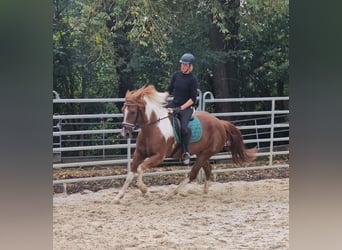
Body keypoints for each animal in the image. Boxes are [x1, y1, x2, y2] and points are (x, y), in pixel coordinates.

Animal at [113, 84, 255, 203]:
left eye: (132, 112)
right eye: (123, 110)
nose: (125, 132)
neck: (154, 127)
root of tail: (220, 123)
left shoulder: (159, 157)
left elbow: (140, 168)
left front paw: (144, 190)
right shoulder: (139, 153)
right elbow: (130, 173)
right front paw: (118, 197)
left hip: (206, 154)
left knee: (192, 174)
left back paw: (171, 194)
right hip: (201, 154)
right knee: (208, 170)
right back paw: (205, 192)